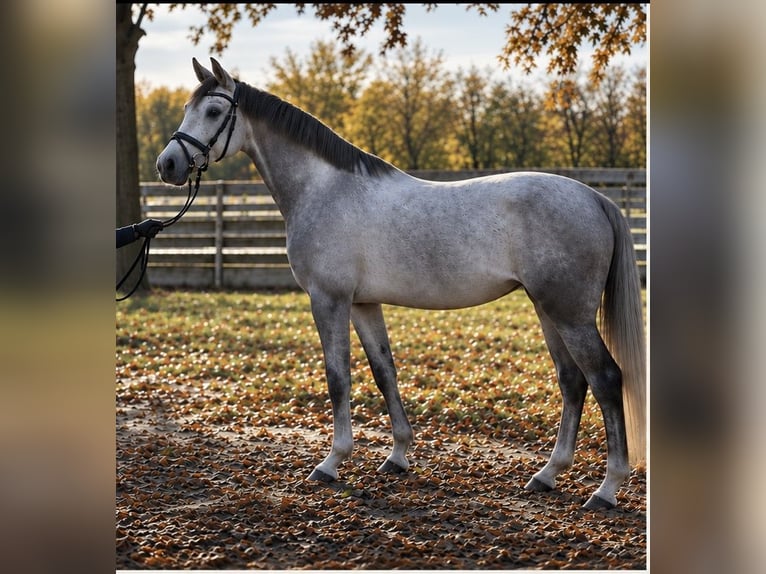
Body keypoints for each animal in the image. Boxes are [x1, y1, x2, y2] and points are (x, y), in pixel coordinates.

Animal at [156, 58, 646, 510]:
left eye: (215, 111)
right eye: (186, 108)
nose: (168, 164)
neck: (325, 189)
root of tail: (594, 198)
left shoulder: (329, 300)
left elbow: (338, 377)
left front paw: (332, 462)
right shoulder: (363, 304)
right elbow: (384, 372)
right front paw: (397, 456)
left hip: (569, 314)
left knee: (605, 379)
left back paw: (606, 489)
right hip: (548, 309)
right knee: (572, 381)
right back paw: (547, 475)